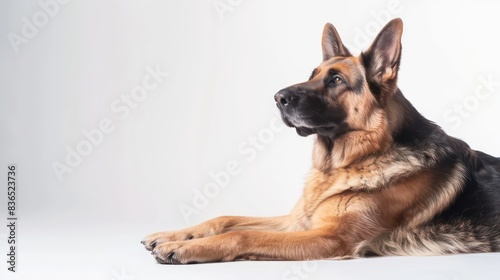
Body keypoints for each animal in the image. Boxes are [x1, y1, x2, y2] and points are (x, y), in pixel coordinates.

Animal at [141, 18, 500, 264]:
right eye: (312, 75)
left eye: (336, 80)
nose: (277, 98)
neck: (346, 163)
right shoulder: (297, 221)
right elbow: (227, 218)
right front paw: (173, 235)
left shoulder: (331, 238)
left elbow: (244, 234)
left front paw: (185, 247)